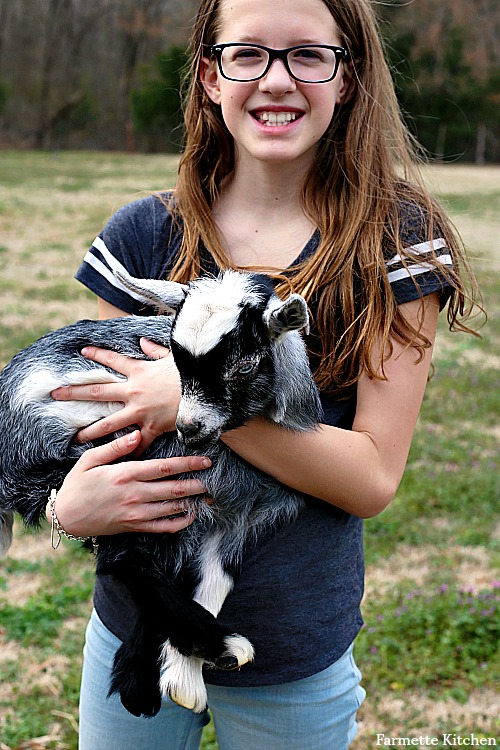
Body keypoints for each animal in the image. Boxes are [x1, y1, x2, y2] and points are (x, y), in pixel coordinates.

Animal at [0, 270, 322, 716]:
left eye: (244, 364)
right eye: (175, 360)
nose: (187, 427)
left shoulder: (237, 517)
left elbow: (216, 580)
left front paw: (183, 679)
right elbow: (145, 565)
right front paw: (202, 659)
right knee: (123, 559)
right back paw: (210, 650)